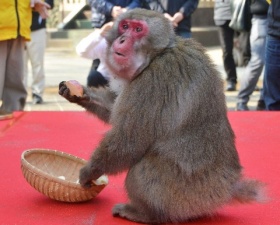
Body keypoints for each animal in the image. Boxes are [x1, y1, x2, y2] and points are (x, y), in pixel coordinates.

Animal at [58, 7, 264, 224]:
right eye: (125, 26)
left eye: (138, 29)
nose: (122, 39)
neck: (157, 55)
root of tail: (227, 188)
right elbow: (114, 111)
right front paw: (79, 93)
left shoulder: (154, 81)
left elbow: (128, 140)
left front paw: (89, 172)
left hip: (188, 196)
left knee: (142, 167)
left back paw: (145, 214)